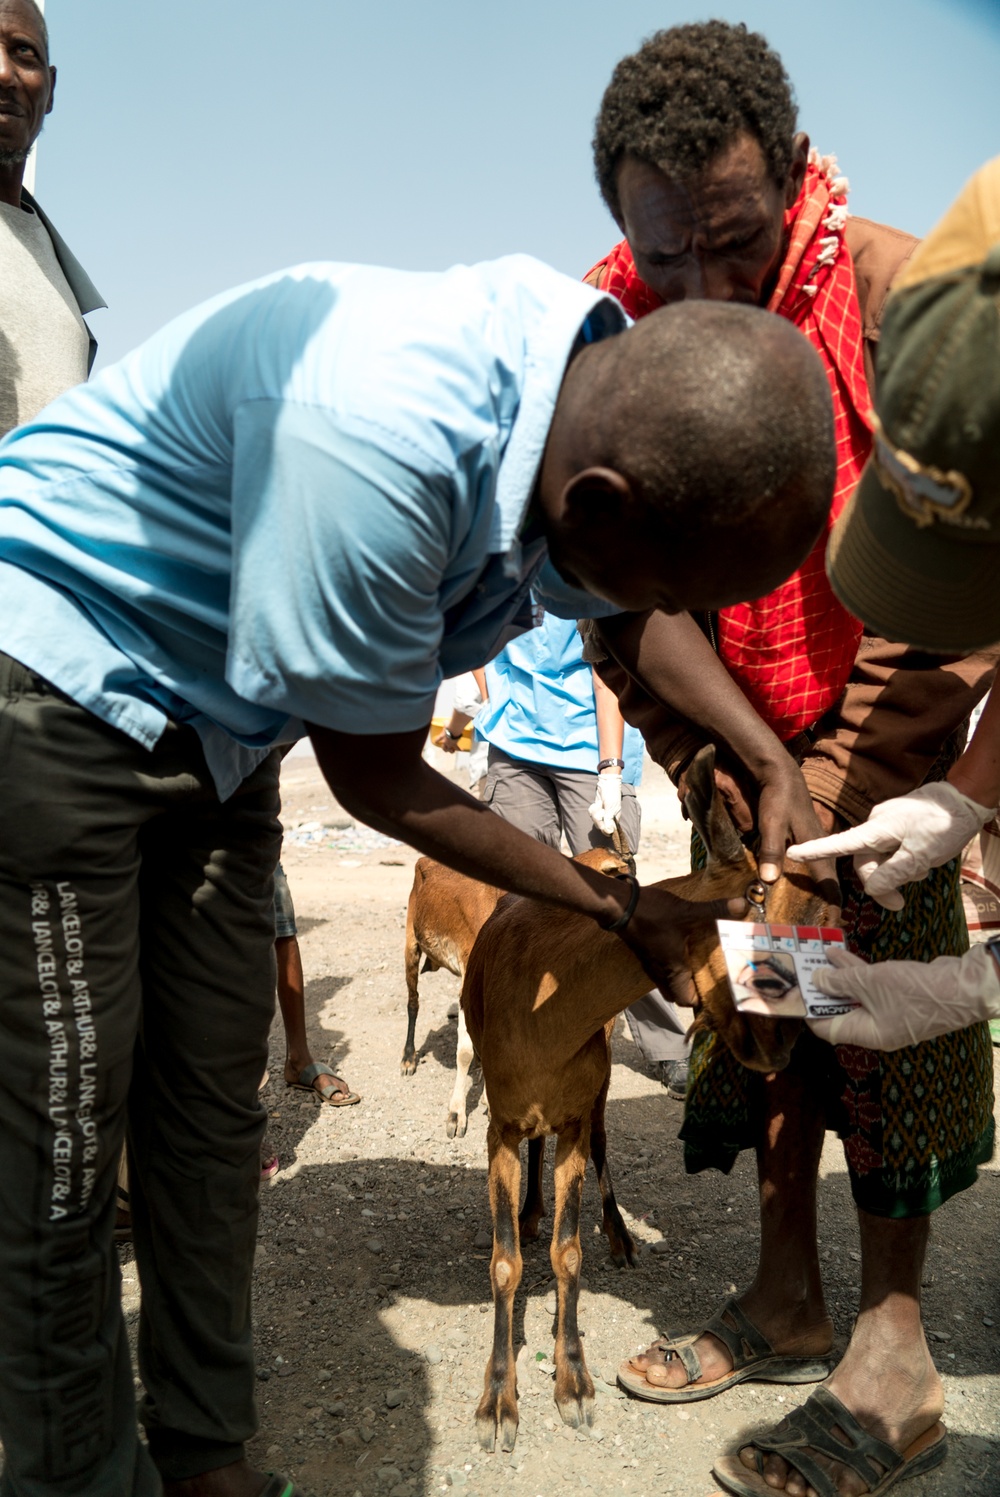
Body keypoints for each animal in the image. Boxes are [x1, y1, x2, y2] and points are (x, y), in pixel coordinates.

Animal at [461, 748, 838, 1449]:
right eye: (760, 908)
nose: (780, 1046)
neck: (547, 1011)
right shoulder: (499, 1124)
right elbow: (505, 1263)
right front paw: (498, 1402)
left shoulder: (576, 1112)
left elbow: (568, 1252)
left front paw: (574, 1384)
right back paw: (532, 1210)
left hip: (602, 1081)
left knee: (602, 1146)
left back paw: (618, 1236)